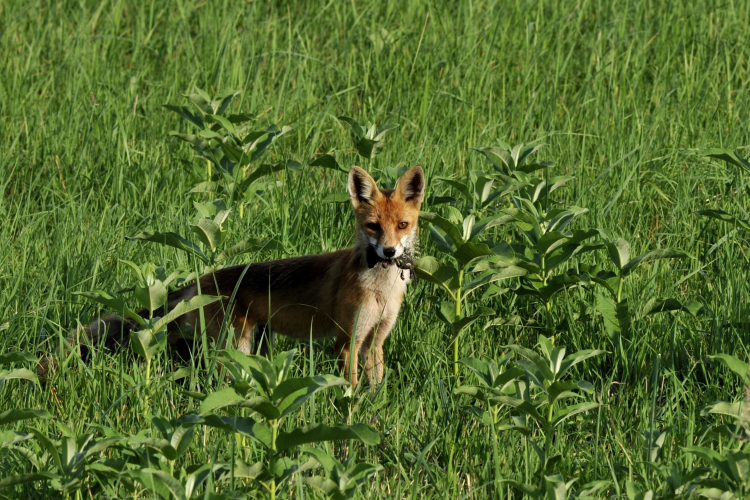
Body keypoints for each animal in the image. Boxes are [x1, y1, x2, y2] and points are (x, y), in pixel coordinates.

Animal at [41, 166, 426, 384]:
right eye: (373, 226)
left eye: (402, 225)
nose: (389, 252)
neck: (381, 289)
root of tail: (198, 282)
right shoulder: (346, 342)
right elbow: (351, 390)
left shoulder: (375, 341)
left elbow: (376, 388)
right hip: (235, 345)